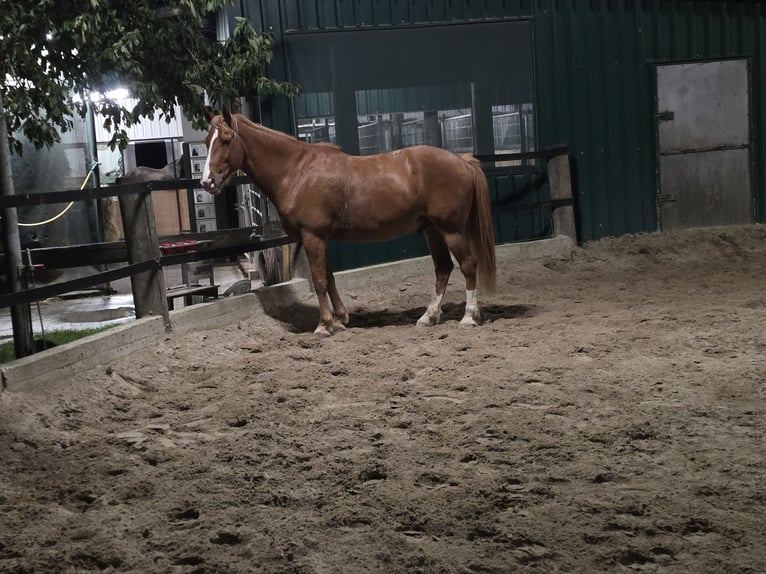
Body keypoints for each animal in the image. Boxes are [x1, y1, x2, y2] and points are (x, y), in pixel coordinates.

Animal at [201, 106, 496, 336]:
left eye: (226, 140)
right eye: (206, 141)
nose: (207, 181)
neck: (297, 171)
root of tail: (462, 160)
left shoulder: (313, 237)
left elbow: (319, 280)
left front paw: (324, 325)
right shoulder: (321, 238)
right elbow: (329, 278)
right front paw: (341, 319)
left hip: (451, 230)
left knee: (468, 265)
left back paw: (469, 316)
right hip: (432, 230)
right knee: (443, 268)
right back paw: (429, 317)